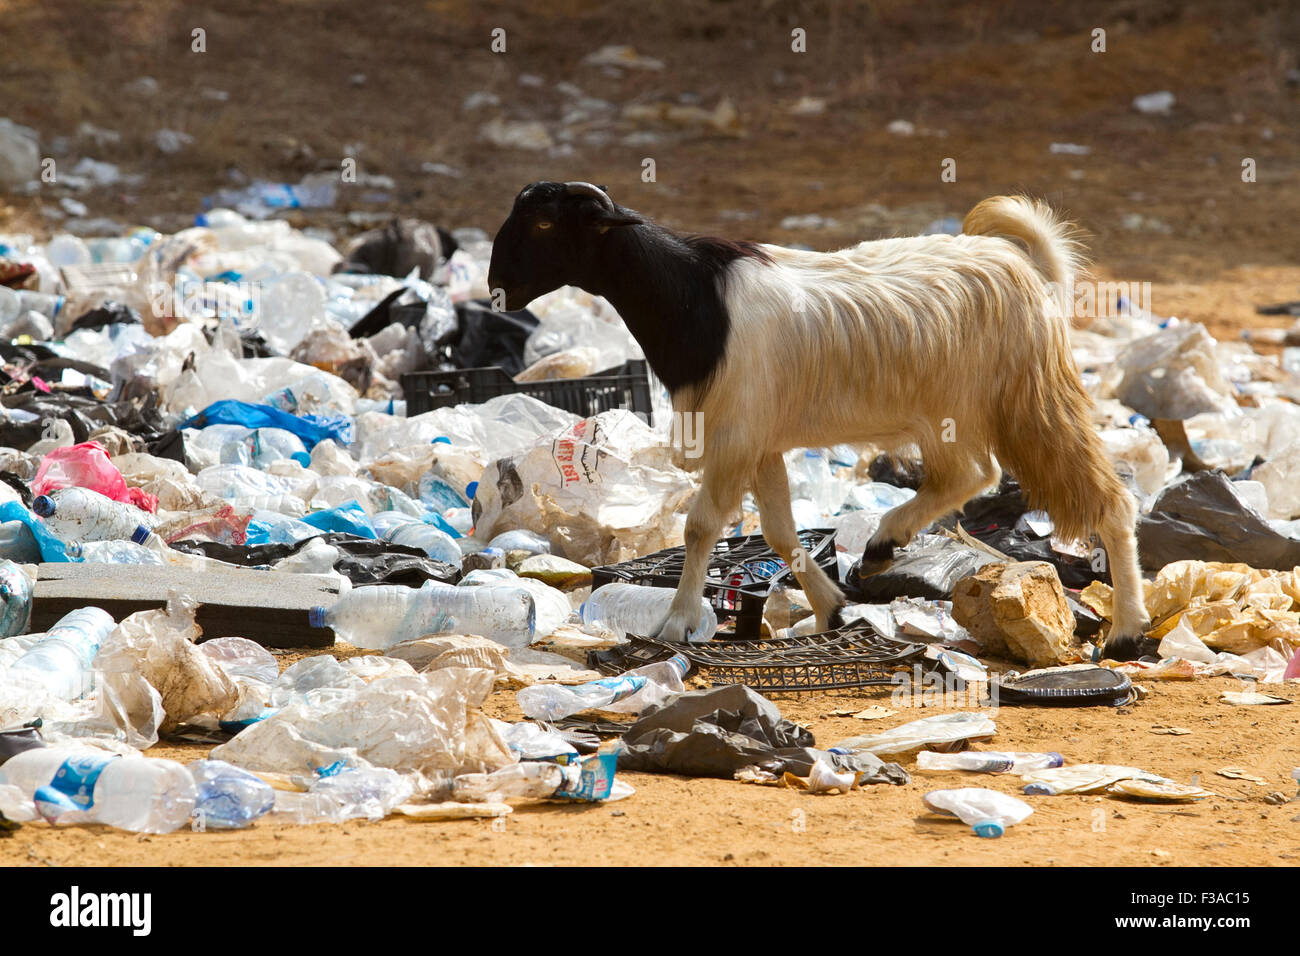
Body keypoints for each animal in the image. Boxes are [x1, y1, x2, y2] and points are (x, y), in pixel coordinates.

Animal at [488, 179, 1159, 660]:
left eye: (545, 222)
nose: (496, 290)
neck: (698, 297)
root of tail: (1025, 268)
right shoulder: (759, 442)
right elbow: (781, 530)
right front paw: (832, 608)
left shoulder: (735, 434)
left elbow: (701, 527)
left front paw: (676, 622)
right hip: (952, 411)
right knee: (969, 476)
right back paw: (881, 547)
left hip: (1024, 399)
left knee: (1097, 496)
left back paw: (1127, 630)